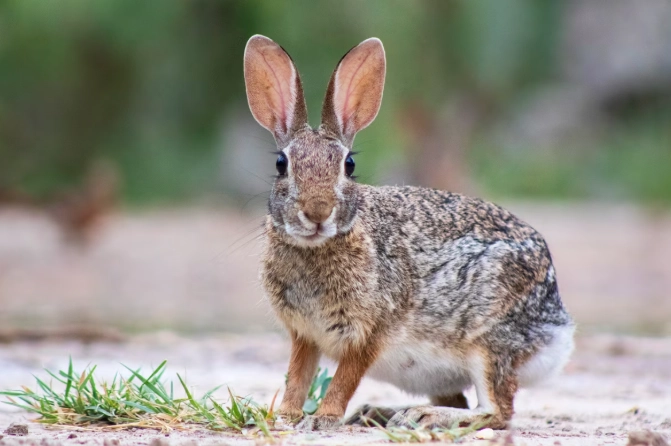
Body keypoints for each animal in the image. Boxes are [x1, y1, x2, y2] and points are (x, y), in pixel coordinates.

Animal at [243, 35, 575, 431]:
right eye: (281, 164)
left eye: (348, 165)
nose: (317, 213)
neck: (320, 245)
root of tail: (558, 326)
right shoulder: (305, 335)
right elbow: (298, 375)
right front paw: (287, 416)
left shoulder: (370, 332)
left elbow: (344, 379)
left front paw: (324, 419)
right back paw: (381, 413)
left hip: (488, 341)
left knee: (497, 411)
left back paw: (422, 415)